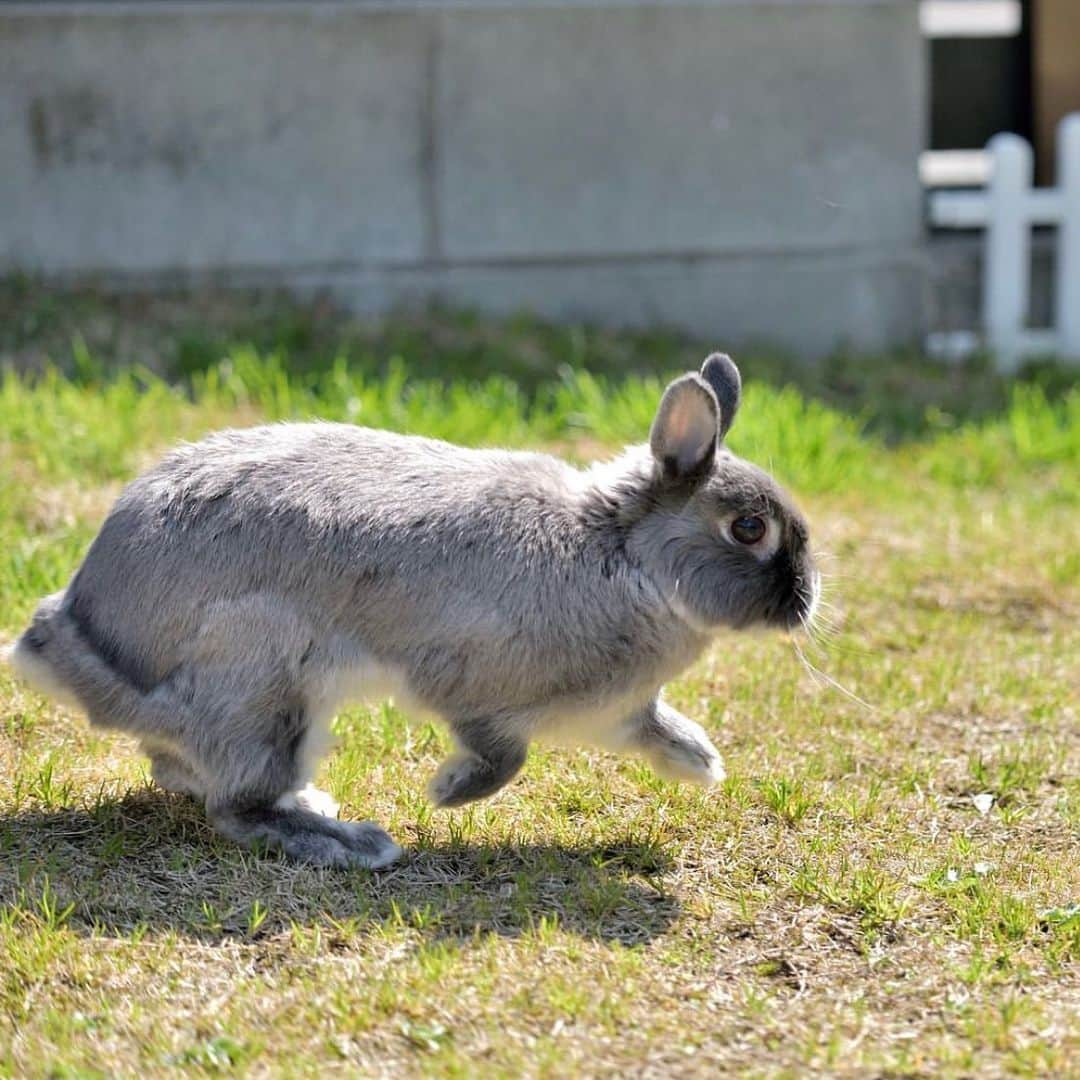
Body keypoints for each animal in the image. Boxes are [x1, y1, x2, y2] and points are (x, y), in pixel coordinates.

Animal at [6, 354, 816, 868]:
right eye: (749, 529)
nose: (806, 601)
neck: (620, 551)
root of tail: (78, 636)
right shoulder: (472, 688)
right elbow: (502, 758)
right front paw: (446, 795)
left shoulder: (616, 710)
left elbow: (652, 726)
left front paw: (700, 765)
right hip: (262, 684)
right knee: (235, 805)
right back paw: (351, 842)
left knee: (178, 768)